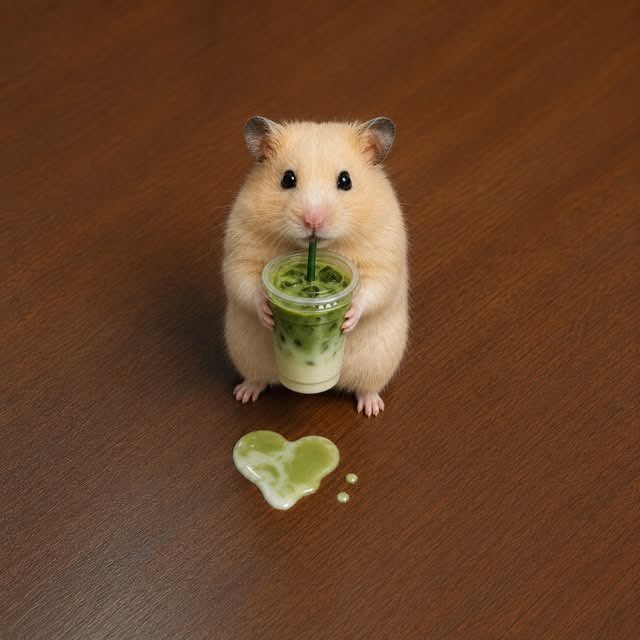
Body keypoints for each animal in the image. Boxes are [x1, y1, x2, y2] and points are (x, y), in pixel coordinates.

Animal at [222, 117, 408, 416]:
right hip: (245, 354)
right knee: (257, 379)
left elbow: (374, 288)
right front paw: (268, 313)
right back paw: (244, 394)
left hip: (379, 363)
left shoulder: (385, 254)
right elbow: (245, 281)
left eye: (346, 180)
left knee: (367, 387)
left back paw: (371, 408)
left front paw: (348, 317)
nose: (313, 221)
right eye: (287, 179)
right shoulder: (240, 248)